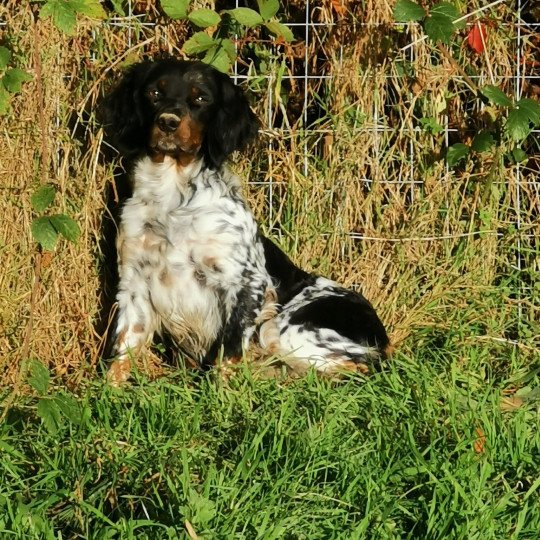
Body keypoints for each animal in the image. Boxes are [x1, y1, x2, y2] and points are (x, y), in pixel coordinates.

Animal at [102, 59, 388, 384]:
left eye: (201, 98)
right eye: (154, 93)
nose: (168, 122)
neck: (173, 200)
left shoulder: (246, 282)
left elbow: (227, 352)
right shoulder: (134, 281)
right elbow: (124, 347)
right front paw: (109, 389)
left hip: (282, 330)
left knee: (359, 368)